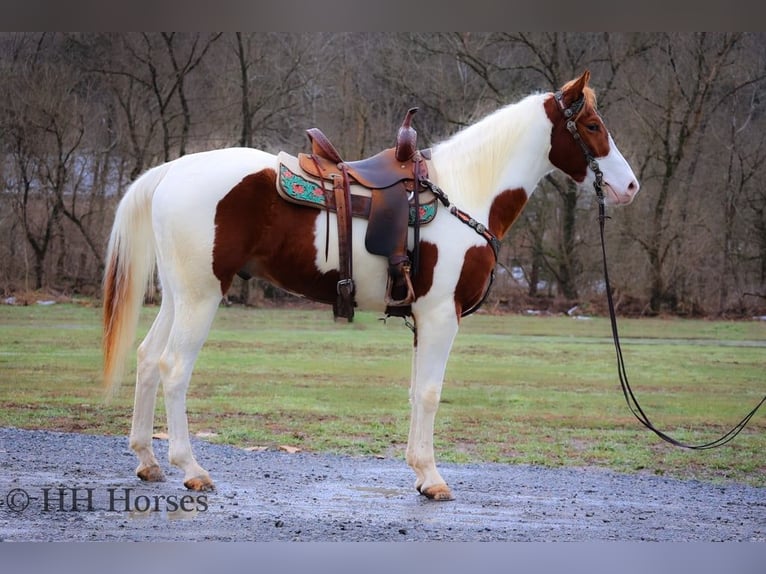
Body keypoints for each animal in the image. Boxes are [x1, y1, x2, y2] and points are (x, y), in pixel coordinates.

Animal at [103, 71, 640, 504]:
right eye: (593, 126)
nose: (631, 187)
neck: (464, 193)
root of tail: (174, 169)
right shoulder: (440, 317)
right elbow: (430, 392)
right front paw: (433, 478)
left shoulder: (424, 320)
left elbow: (416, 391)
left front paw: (420, 473)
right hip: (201, 297)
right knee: (174, 368)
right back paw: (191, 468)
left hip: (178, 296)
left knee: (148, 358)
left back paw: (148, 461)